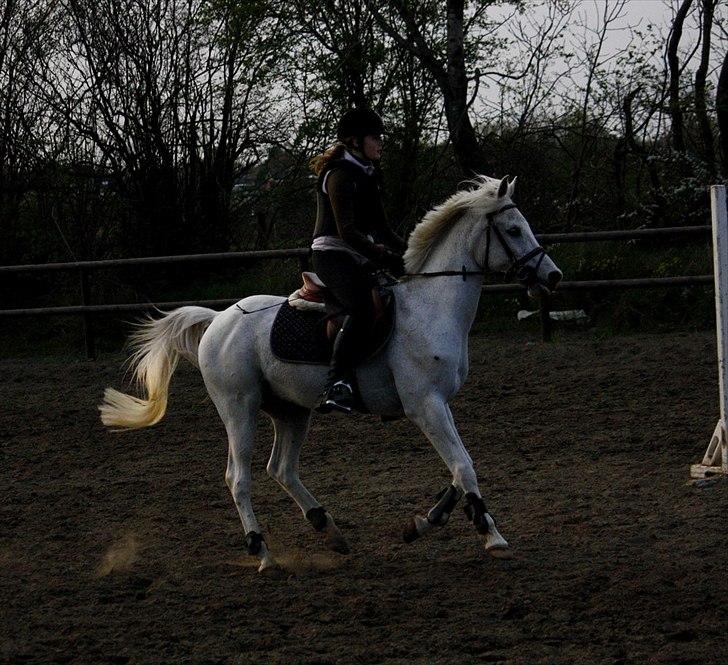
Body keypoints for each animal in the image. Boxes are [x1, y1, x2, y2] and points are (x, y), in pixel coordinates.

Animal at [98, 175, 564, 572]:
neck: (432, 307)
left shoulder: (438, 405)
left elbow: (457, 468)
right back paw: (263, 552)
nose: (553, 276)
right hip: (238, 408)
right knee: (239, 478)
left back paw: (329, 528)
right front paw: (491, 535)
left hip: (291, 411)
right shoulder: (424, 405)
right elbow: (464, 466)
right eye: (514, 230)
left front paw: (424, 522)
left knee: (281, 468)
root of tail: (218, 320)